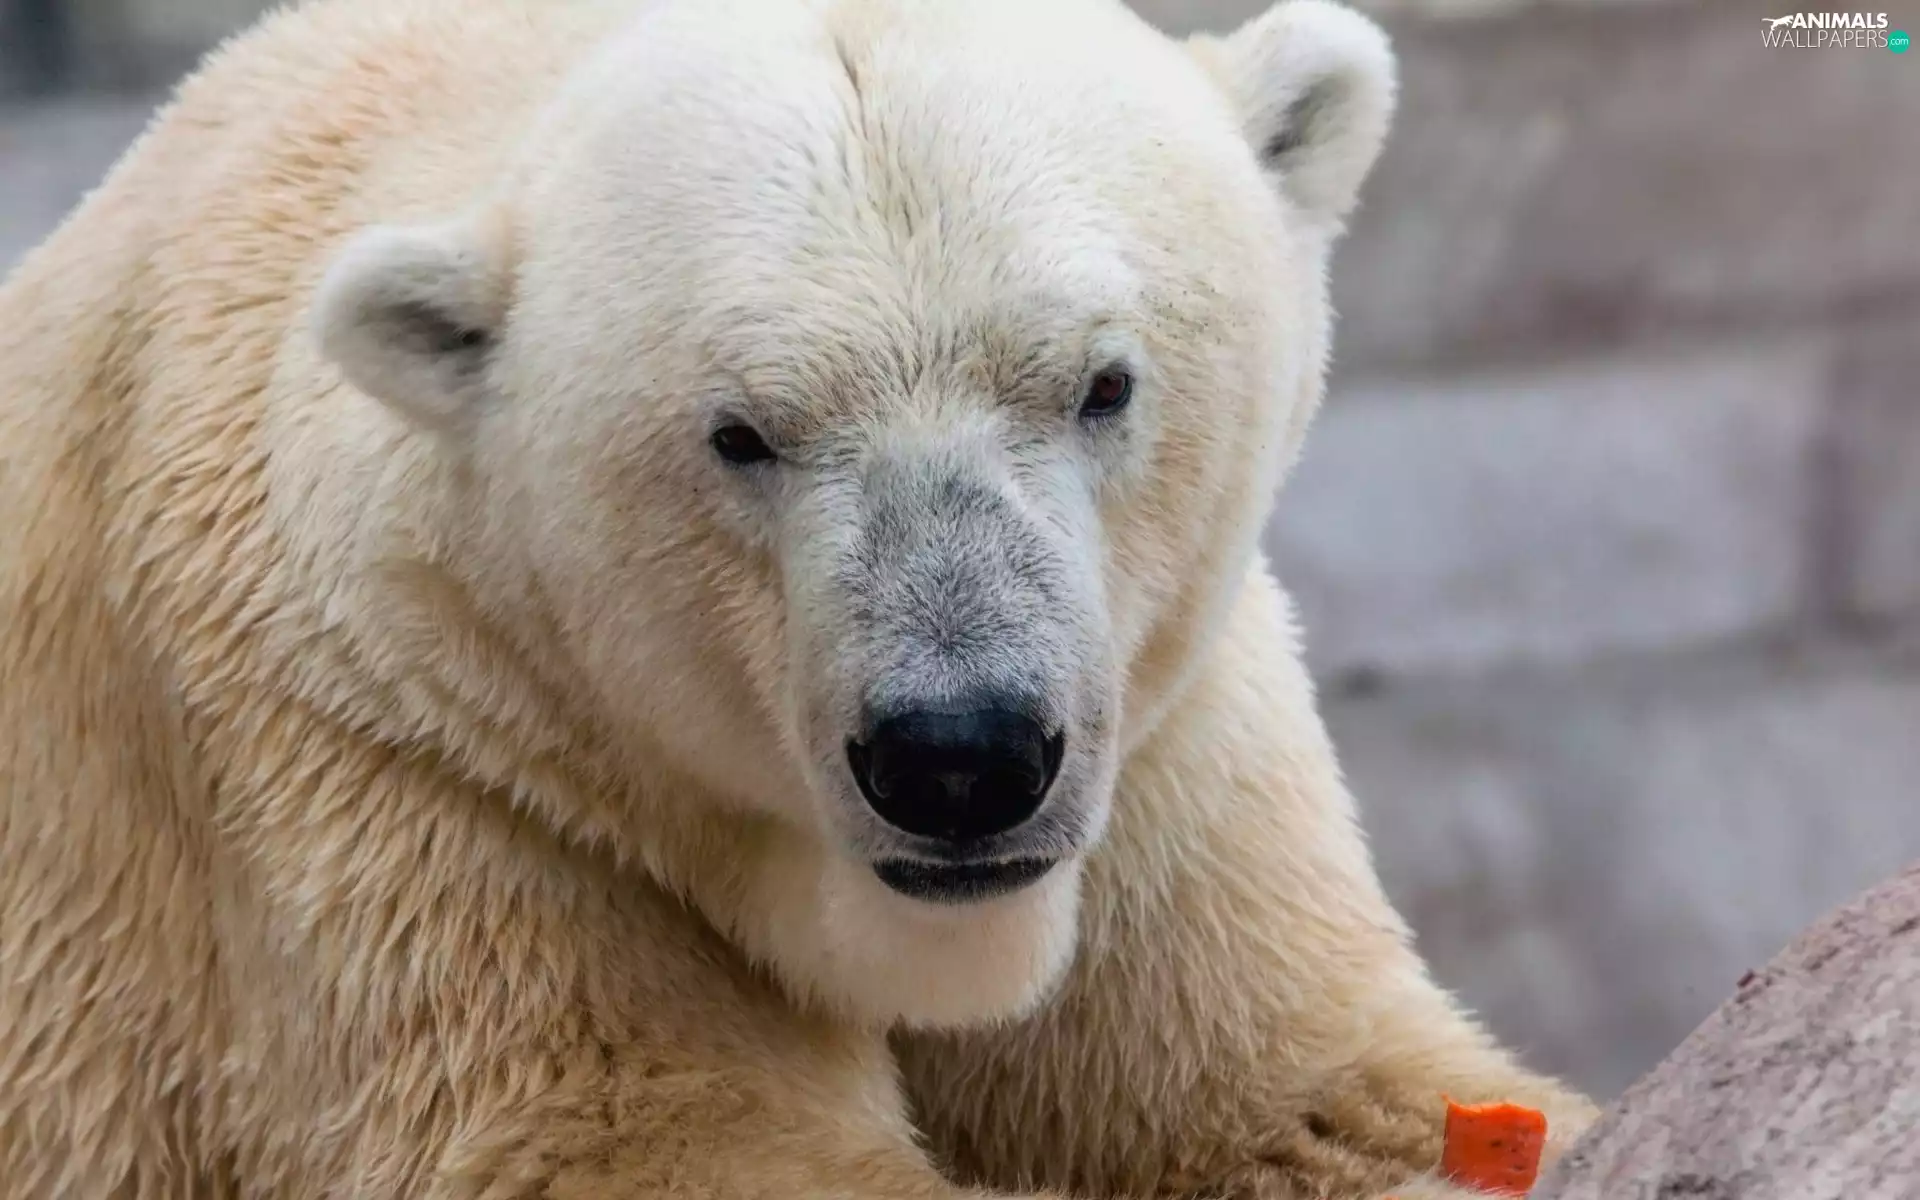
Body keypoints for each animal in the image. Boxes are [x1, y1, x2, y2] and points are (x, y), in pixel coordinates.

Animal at [0, 0, 1598, 1196]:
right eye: (741, 433)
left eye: (1103, 382)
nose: (961, 757)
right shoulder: (413, 761)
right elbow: (635, 1137)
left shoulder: (1169, 749)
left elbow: (1297, 1089)